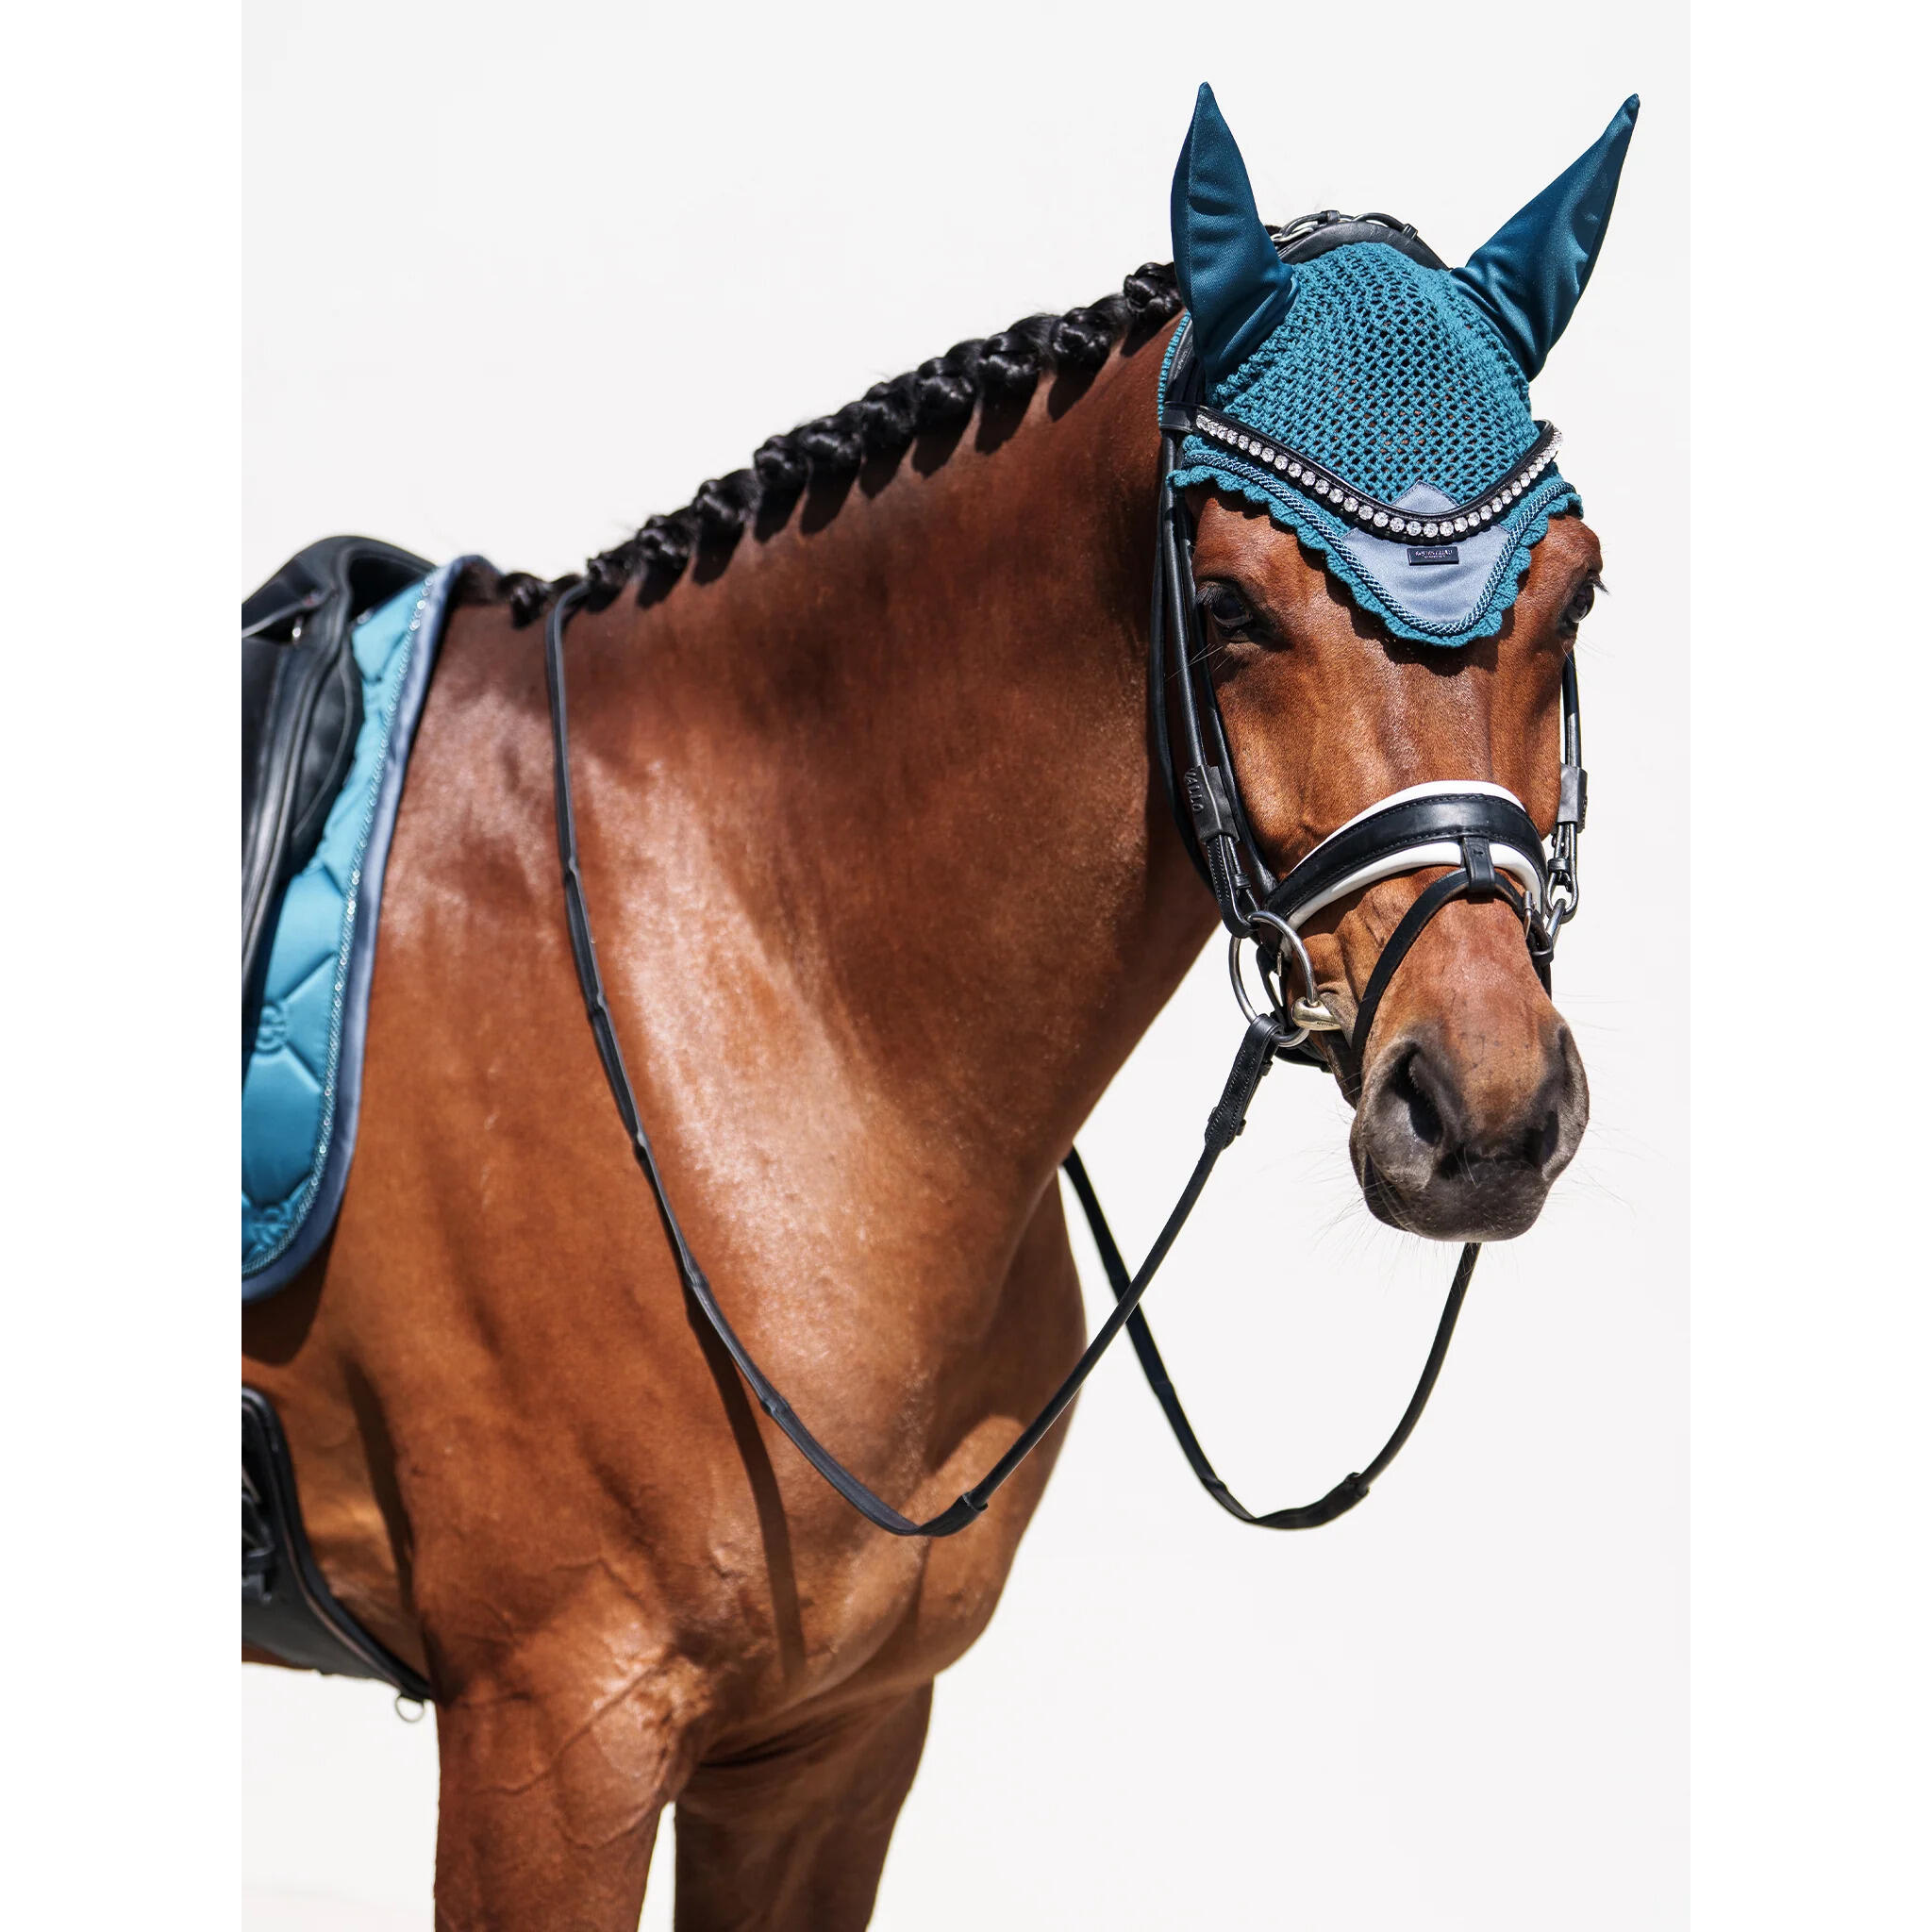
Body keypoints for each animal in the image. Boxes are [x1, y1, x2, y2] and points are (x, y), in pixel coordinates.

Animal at [243, 86, 1632, 1929]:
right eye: (1228, 607)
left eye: (1576, 594)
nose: (1480, 1112)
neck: (754, 989)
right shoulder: (553, 1738)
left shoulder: (835, 1743)